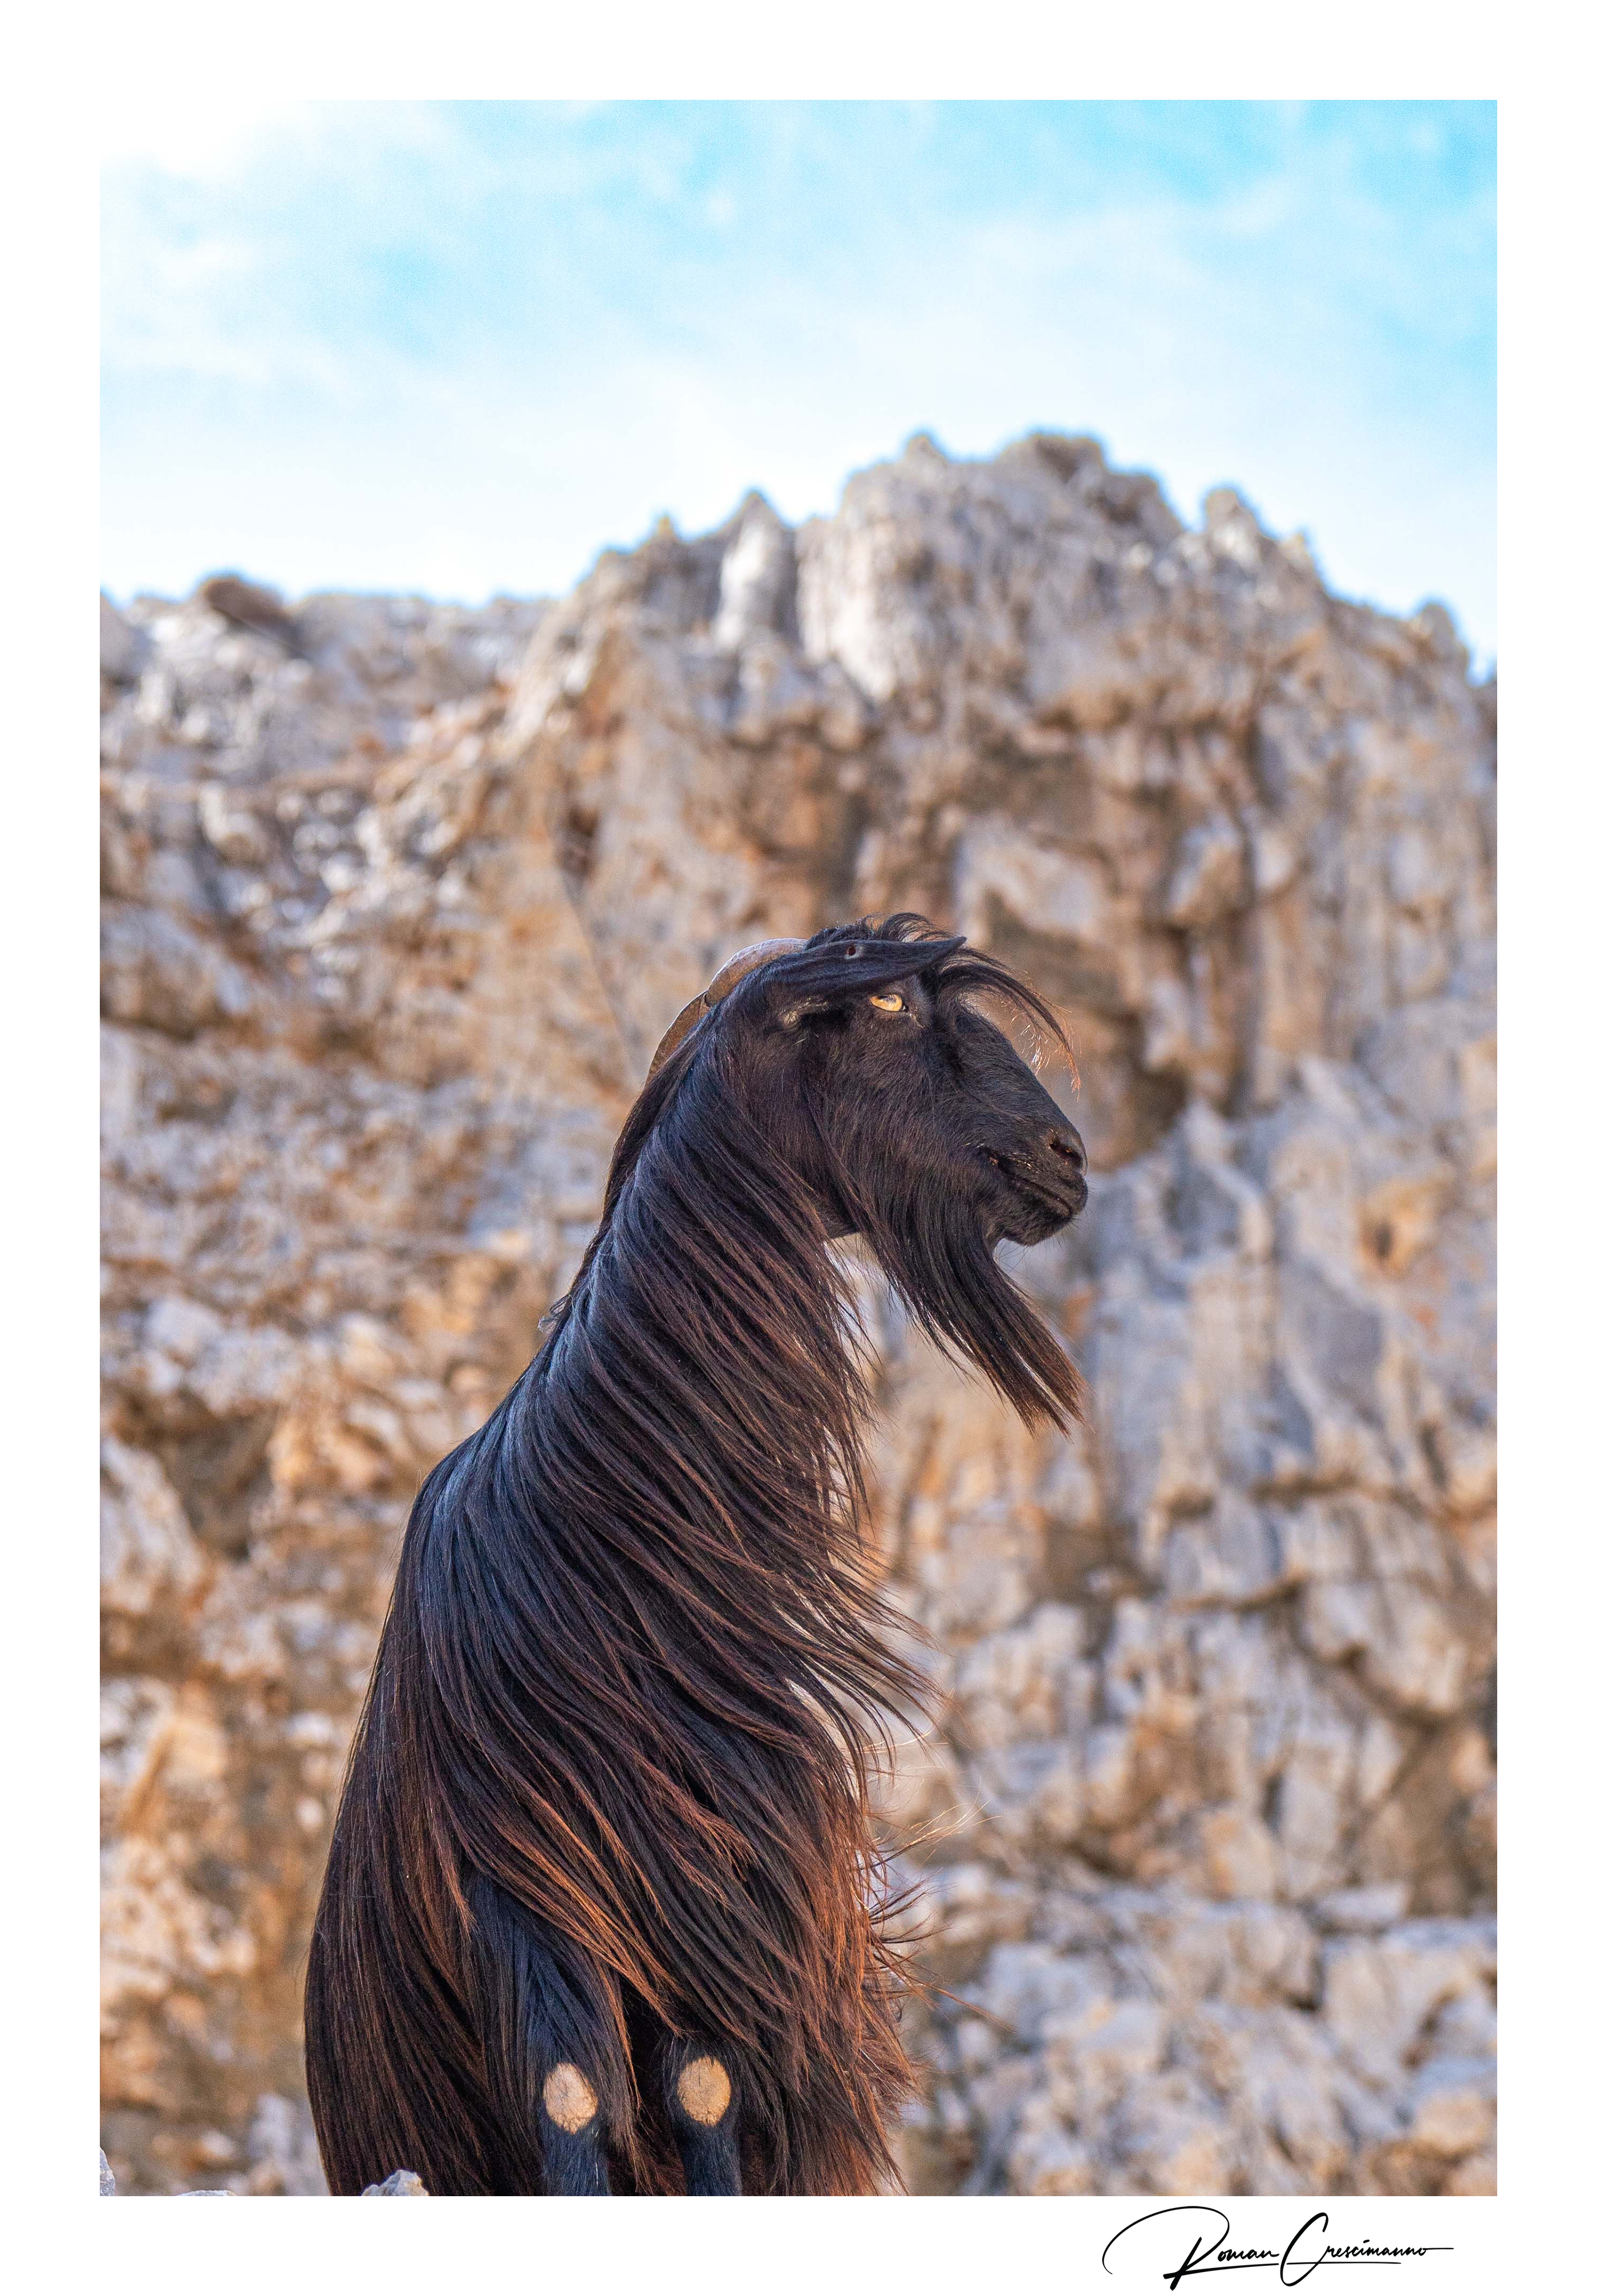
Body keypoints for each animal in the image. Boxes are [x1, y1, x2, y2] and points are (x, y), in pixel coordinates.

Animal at [305, 914, 1087, 2194]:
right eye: (887, 1011)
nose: (1064, 1156)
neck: (608, 1544)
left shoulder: (714, 1914)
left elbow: (703, 2093)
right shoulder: (524, 1890)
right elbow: (571, 2096)